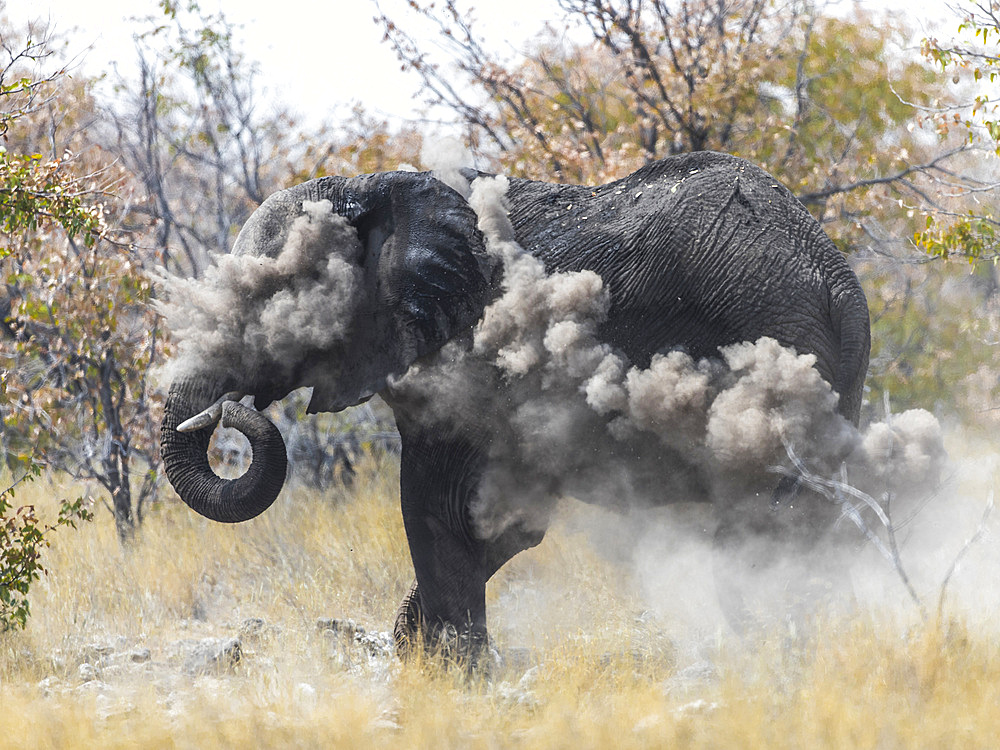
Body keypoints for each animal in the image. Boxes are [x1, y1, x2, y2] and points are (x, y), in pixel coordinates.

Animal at [160, 151, 872, 656]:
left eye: (267, 300)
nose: (228, 410)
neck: (378, 185)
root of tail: (836, 279)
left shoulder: (465, 360)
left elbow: (440, 507)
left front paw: (446, 671)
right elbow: (504, 524)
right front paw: (416, 649)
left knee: (759, 524)